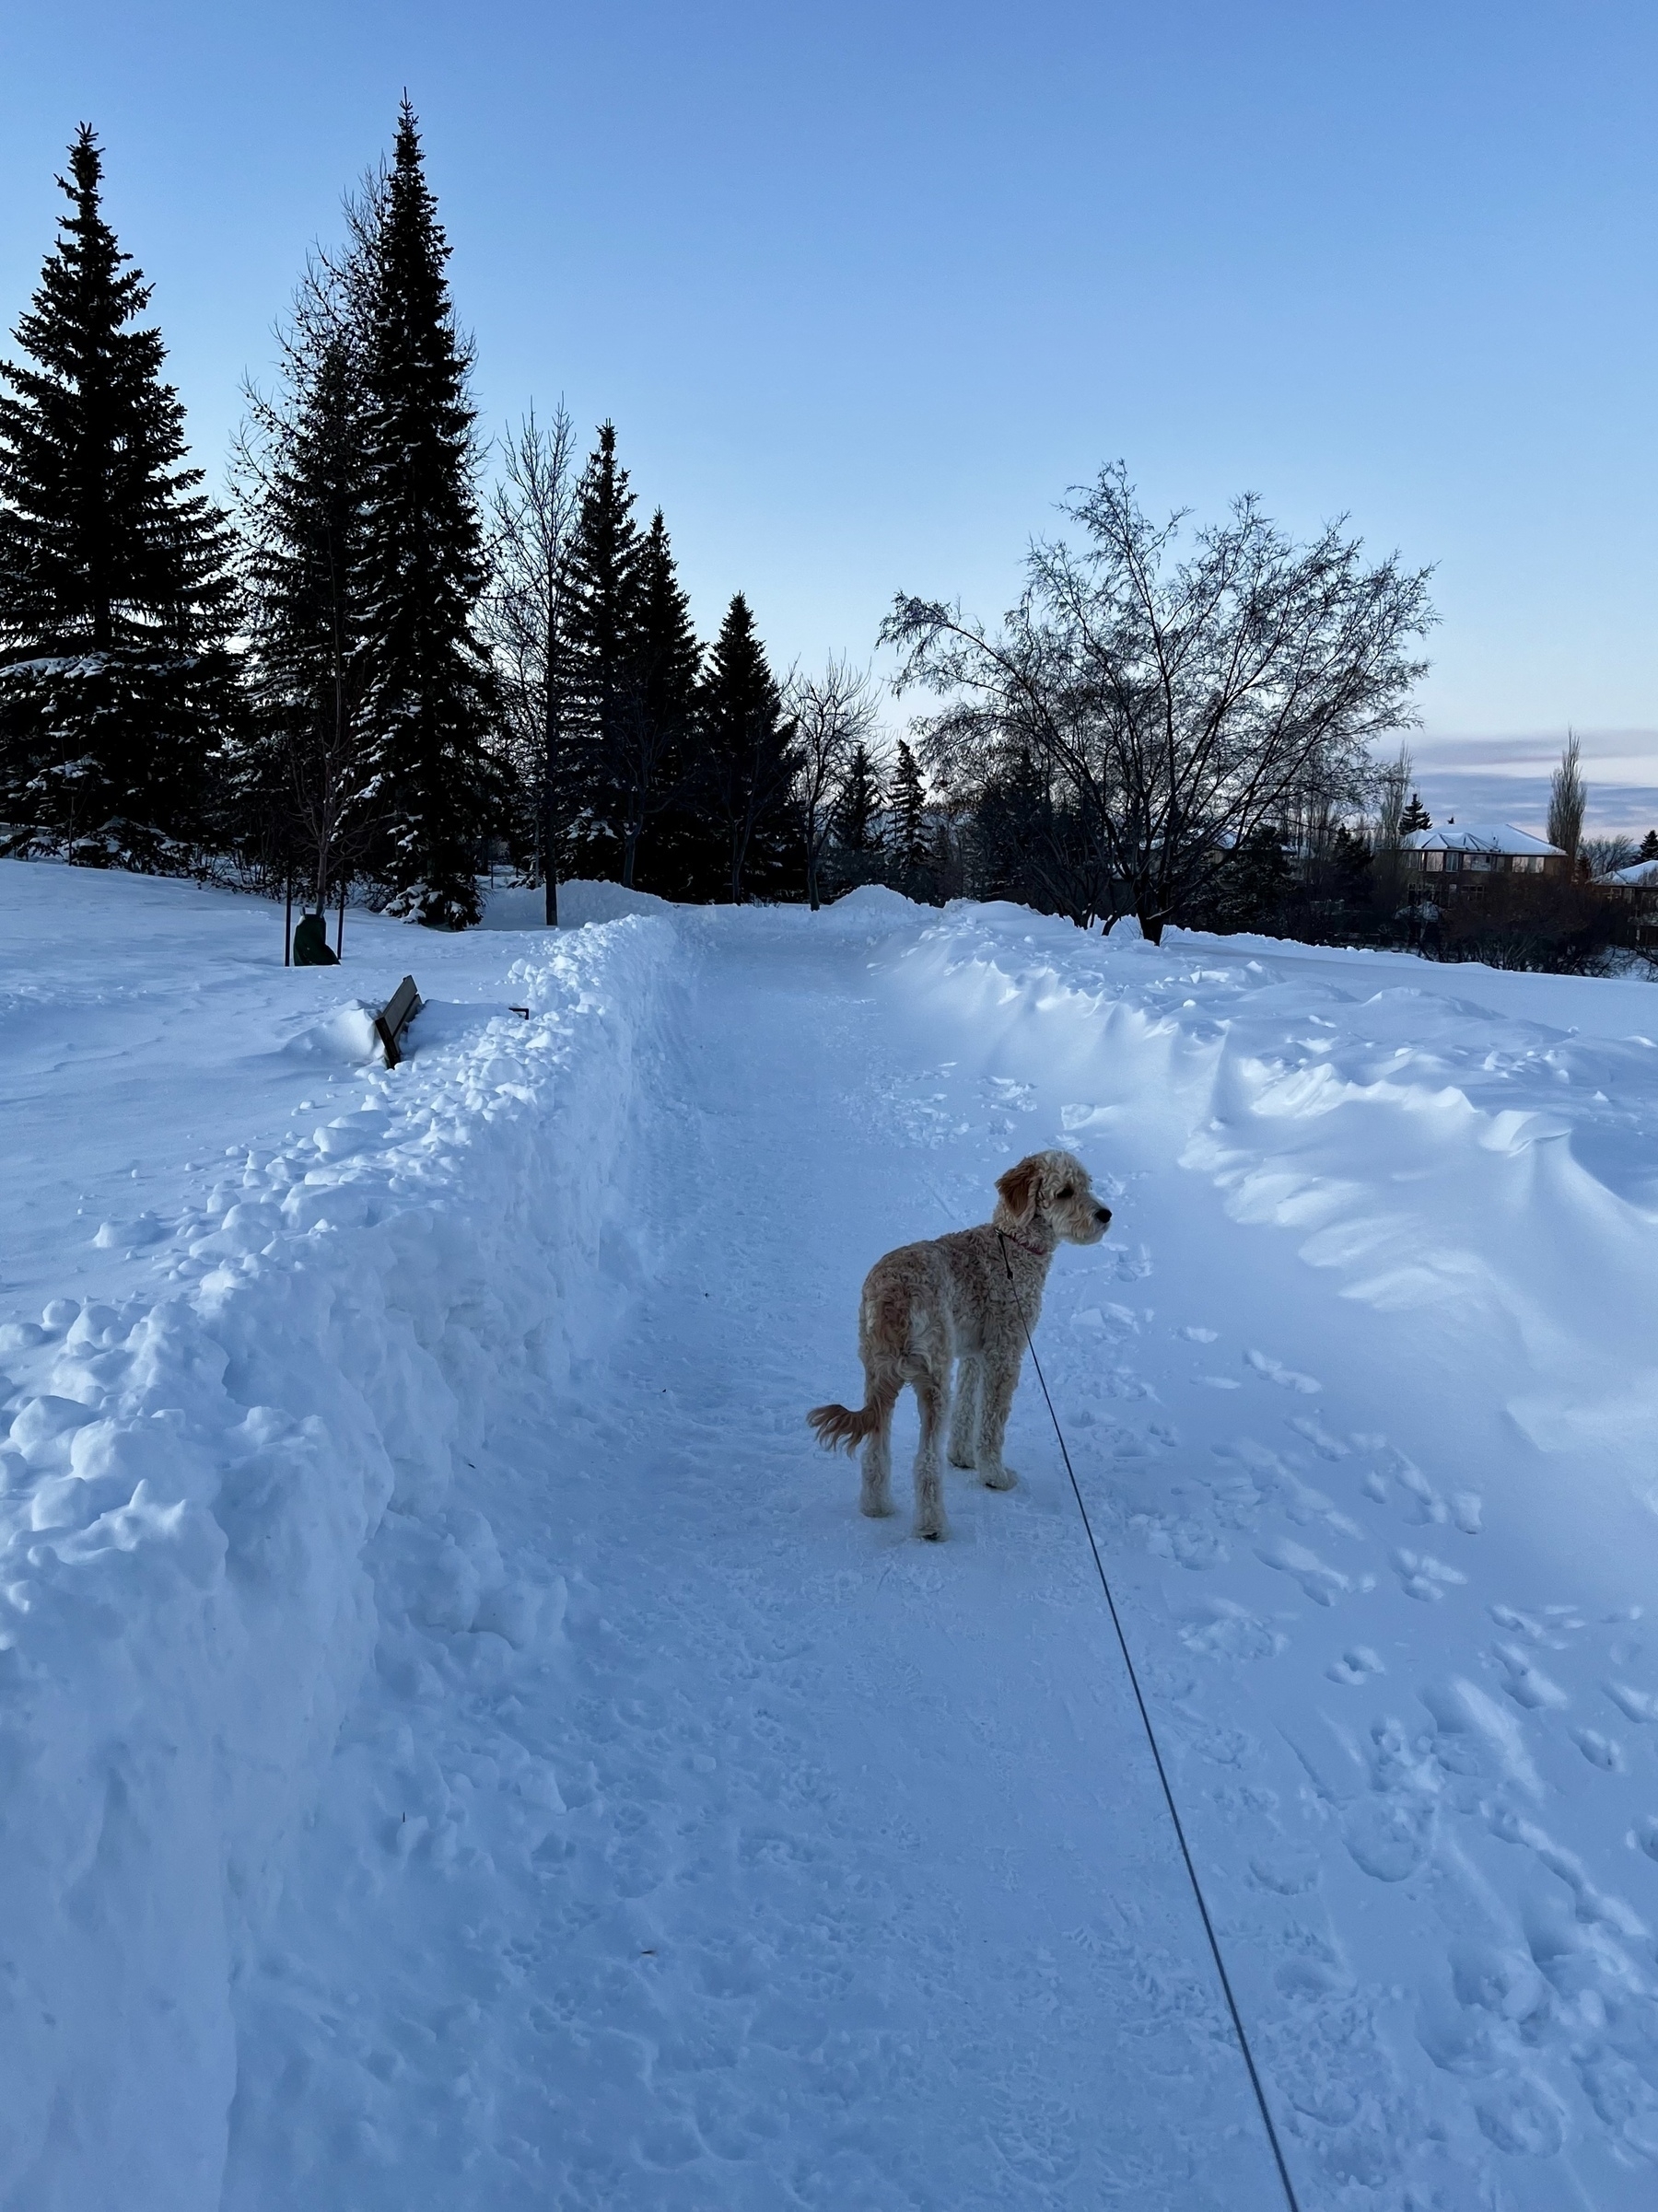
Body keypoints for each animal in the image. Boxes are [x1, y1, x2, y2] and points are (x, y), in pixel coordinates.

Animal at [805, 1158, 1106, 1539]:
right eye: (1064, 1192)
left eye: (1087, 1184)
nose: (1106, 1214)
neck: (1013, 1245)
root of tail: (893, 1293)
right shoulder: (1005, 1352)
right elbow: (991, 1423)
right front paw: (994, 1476)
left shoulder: (974, 1354)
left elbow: (967, 1408)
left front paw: (962, 1458)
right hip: (932, 1374)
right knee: (925, 1460)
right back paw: (932, 1526)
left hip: (878, 1370)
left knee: (875, 1449)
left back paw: (876, 1507)